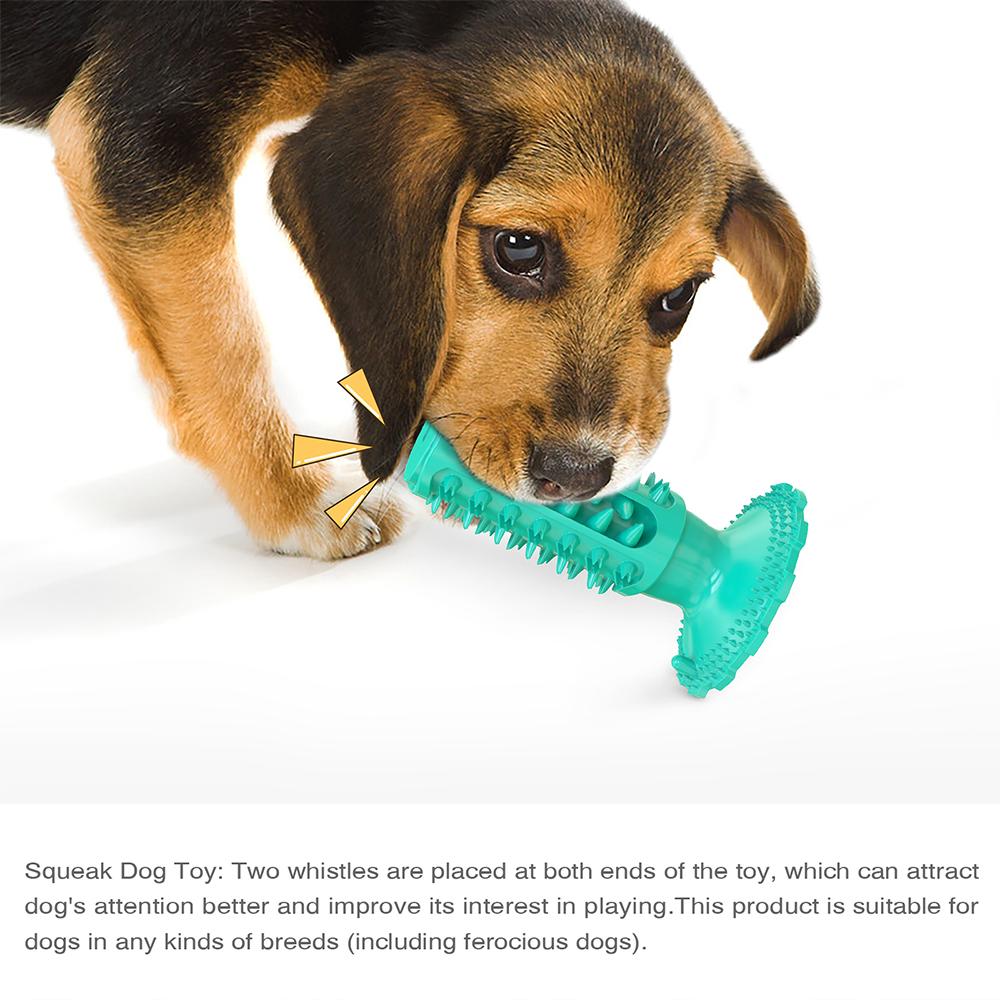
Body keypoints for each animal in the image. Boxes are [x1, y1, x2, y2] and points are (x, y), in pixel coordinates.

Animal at [0, 0, 816, 560]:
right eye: (518, 249)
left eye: (680, 298)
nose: (578, 476)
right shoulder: (140, 133)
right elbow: (222, 344)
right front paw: (295, 502)